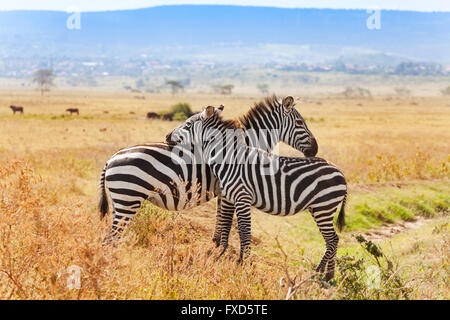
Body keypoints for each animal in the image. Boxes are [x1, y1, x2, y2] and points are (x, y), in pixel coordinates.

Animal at [99, 95, 318, 242]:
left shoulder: (224, 191)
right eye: (300, 122)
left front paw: (215, 244)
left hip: (121, 201)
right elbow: (225, 220)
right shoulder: (229, 190)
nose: (315, 149)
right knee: (111, 239)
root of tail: (111, 159)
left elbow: (220, 218)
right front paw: (219, 248)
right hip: (128, 199)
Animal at [167, 105, 346, 280]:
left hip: (324, 207)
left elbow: (244, 232)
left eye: (188, 124)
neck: (229, 159)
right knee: (332, 240)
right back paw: (328, 275)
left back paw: (318, 273)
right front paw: (232, 257)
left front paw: (244, 264)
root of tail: (340, 172)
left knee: (332, 240)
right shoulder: (231, 198)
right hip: (319, 209)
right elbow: (231, 227)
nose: (167, 136)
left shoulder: (242, 197)